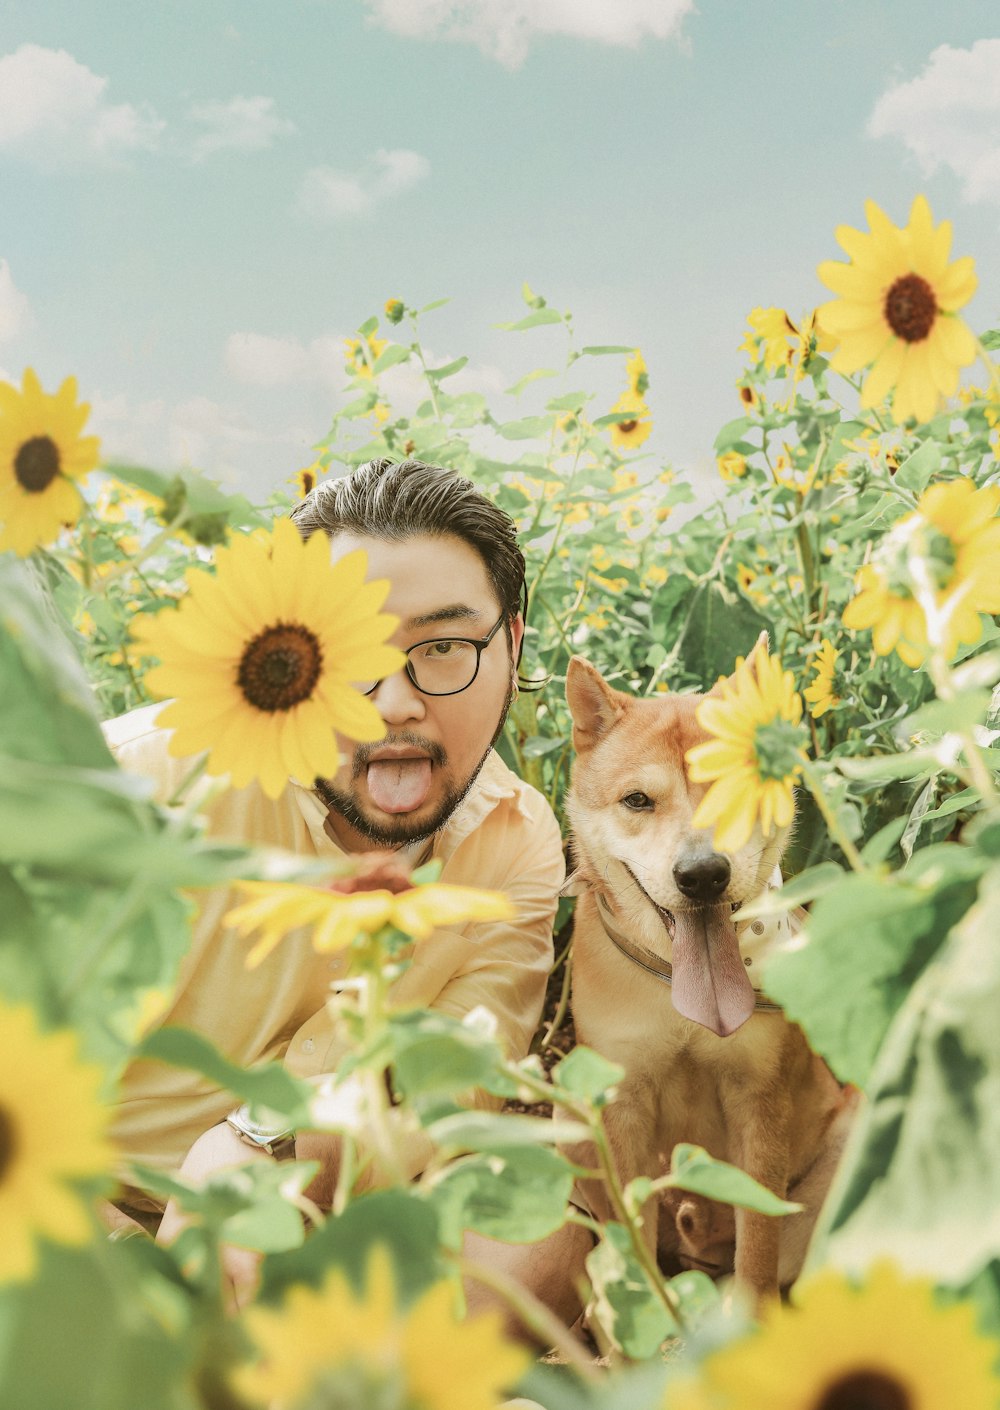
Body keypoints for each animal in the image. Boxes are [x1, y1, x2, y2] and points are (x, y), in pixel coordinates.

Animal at [566, 642, 851, 1297]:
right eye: (638, 800)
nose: (702, 875)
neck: (681, 996)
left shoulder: (759, 1100)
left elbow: (759, 1248)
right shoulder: (620, 1105)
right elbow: (635, 1236)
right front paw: (641, 1308)